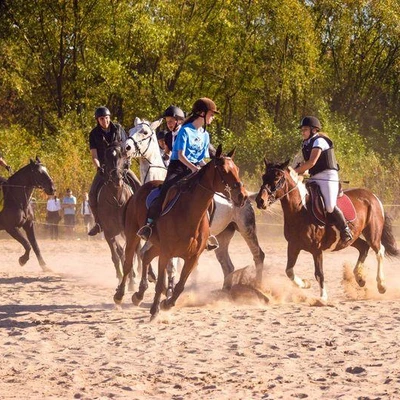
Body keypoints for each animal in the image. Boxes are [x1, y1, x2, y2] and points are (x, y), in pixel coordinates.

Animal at [112, 144, 248, 318]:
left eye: (237, 169)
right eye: (223, 170)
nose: (242, 196)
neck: (190, 215)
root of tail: (139, 190)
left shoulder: (192, 257)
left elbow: (180, 285)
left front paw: (167, 303)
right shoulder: (166, 253)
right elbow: (161, 282)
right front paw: (155, 309)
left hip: (157, 244)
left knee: (146, 256)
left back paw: (139, 295)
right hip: (133, 235)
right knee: (129, 263)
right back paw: (120, 295)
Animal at [125, 117, 266, 290]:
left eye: (144, 132)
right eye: (131, 130)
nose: (126, 147)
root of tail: (248, 196)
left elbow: (172, 264)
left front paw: (168, 287)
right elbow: (145, 253)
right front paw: (154, 279)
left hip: (247, 228)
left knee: (258, 255)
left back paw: (258, 286)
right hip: (223, 234)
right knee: (228, 266)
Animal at [255, 159, 398, 304]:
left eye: (277, 178)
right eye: (264, 177)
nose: (260, 201)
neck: (300, 210)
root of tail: (373, 196)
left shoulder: (316, 249)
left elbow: (319, 273)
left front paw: (323, 297)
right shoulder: (293, 245)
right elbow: (289, 271)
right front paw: (305, 284)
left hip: (372, 233)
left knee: (379, 251)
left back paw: (381, 285)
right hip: (351, 238)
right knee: (363, 247)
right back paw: (360, 278)